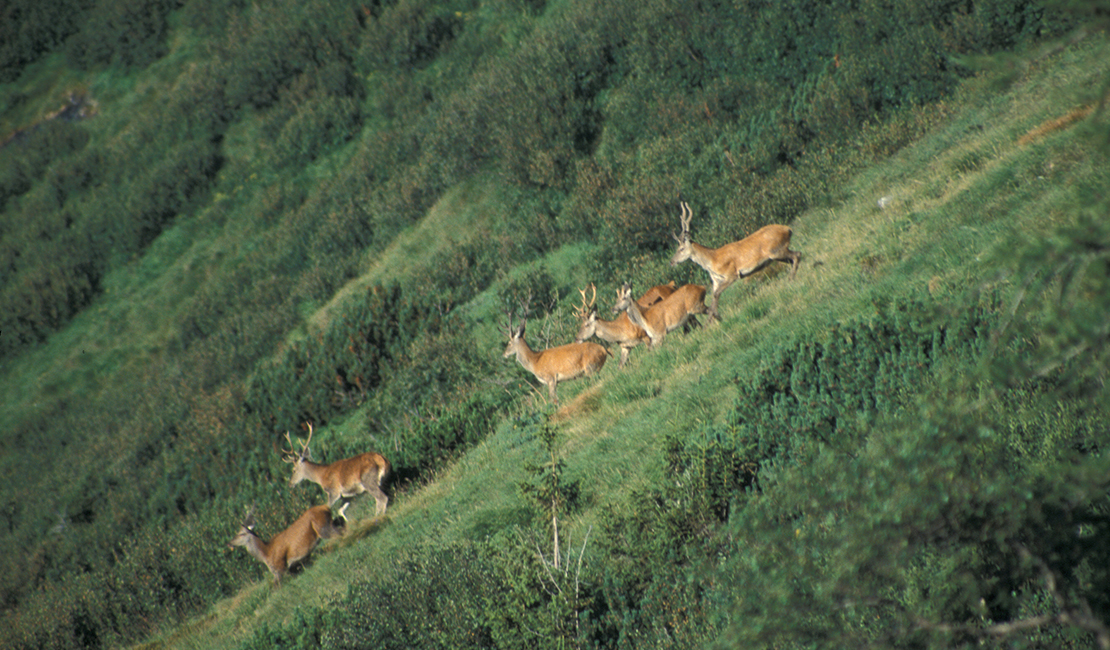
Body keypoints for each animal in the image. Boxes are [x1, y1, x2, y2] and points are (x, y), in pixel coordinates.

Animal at [666, 198, 799, 317]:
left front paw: (713, 319)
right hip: (776, 255)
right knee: (794, 257)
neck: (712, 260)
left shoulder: (732, 274)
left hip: (775, 251)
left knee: (797, 255)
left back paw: (791, 279)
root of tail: (788, 229)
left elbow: (716, 295)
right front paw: (712, 319)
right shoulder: (715, 281)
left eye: (681, 249)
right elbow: (713, 297)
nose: (671, 262)